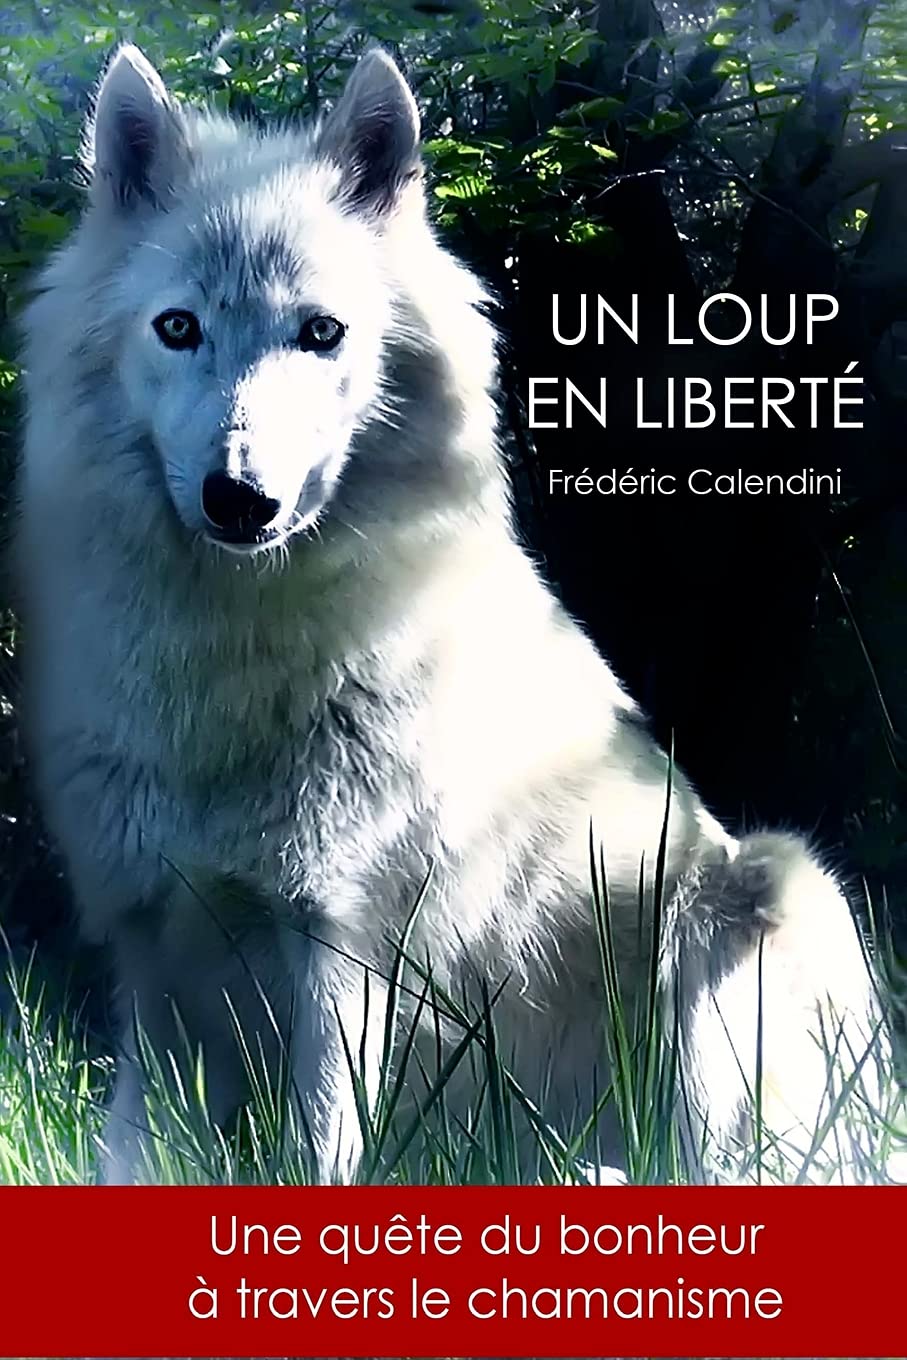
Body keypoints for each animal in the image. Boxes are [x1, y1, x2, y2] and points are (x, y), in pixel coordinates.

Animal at [17, 43, 886, 1184]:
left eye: (320, 333)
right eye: (178, 328)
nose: (239, 498)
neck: (234, 659)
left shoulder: (339, 944)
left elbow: (319, 1154)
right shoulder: (152, 952)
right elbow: (136, 1153)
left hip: (758, 900)